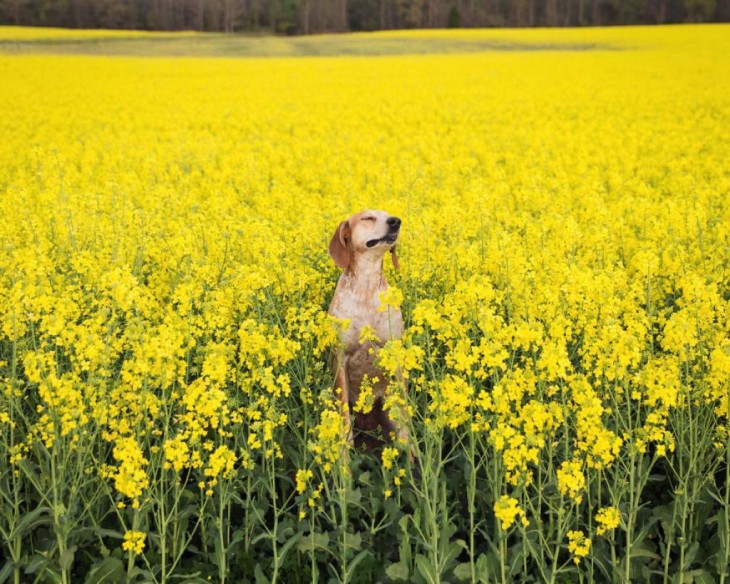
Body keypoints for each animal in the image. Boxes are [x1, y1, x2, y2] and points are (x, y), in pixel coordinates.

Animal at [326, 210, 410, 452]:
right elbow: (345, 424)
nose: (396, 221)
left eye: (389, 215)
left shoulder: (394, 353)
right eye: (368, 218)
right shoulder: (341, 358)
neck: (366, 284)